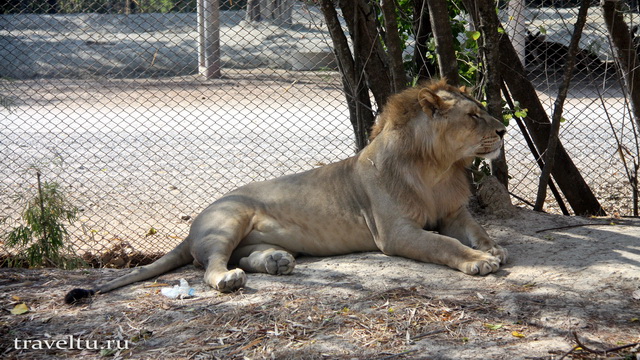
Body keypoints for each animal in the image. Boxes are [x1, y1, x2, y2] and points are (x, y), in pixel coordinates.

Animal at [63, 79, 504, 304]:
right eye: (472, 116)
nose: (502, 130)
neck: (435, 169)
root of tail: (191, 228)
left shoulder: (453, 212)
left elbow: (475, 230)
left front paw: (492, 248)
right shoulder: (396, 233)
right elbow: (442, 244)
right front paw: (479, 261)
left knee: (236, 256)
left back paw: (276, 261)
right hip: (229, 218)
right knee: (209, 265)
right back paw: (231, 280)